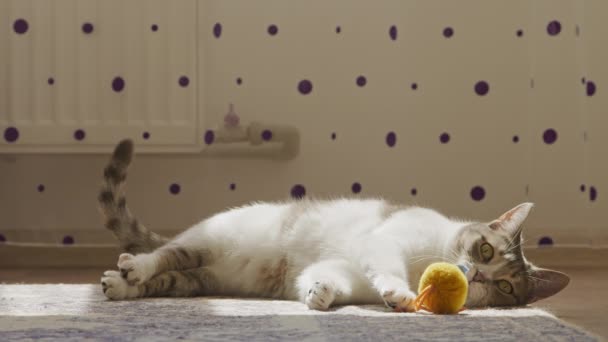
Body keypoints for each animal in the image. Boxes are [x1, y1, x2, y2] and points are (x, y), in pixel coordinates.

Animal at [97, 140, 568, 312]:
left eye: (504, 286)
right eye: (484, 251)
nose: (479, 275)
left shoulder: (349, 271)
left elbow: (329, 277)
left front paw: (319, 293)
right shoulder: (386, 242)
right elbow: (388, 267)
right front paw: (400, 294)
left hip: (202, 279)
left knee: (169, 278)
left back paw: (120, 285)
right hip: (209, 241)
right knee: (161, 255)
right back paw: (132, 266)